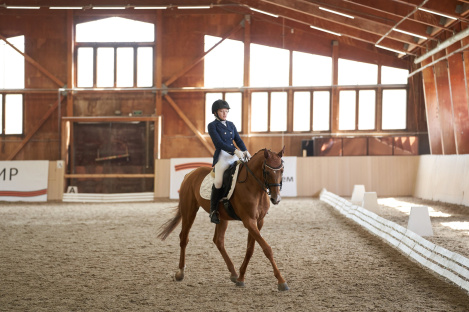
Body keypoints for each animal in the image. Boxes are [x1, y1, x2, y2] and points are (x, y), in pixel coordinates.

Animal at [157, 147, 288, 292]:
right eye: (267, 171)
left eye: (282, 170)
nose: (276, 199)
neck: (253, 187)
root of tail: (190, 174)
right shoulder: (249, 221)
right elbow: (267, 249)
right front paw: (281, 281)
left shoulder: (258, 222)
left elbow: (250, 249)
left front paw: (241, 278)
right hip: (189, 211)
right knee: (184, 238)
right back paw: (180, 272)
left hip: (222, 217)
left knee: (218, 240)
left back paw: (233, 273)